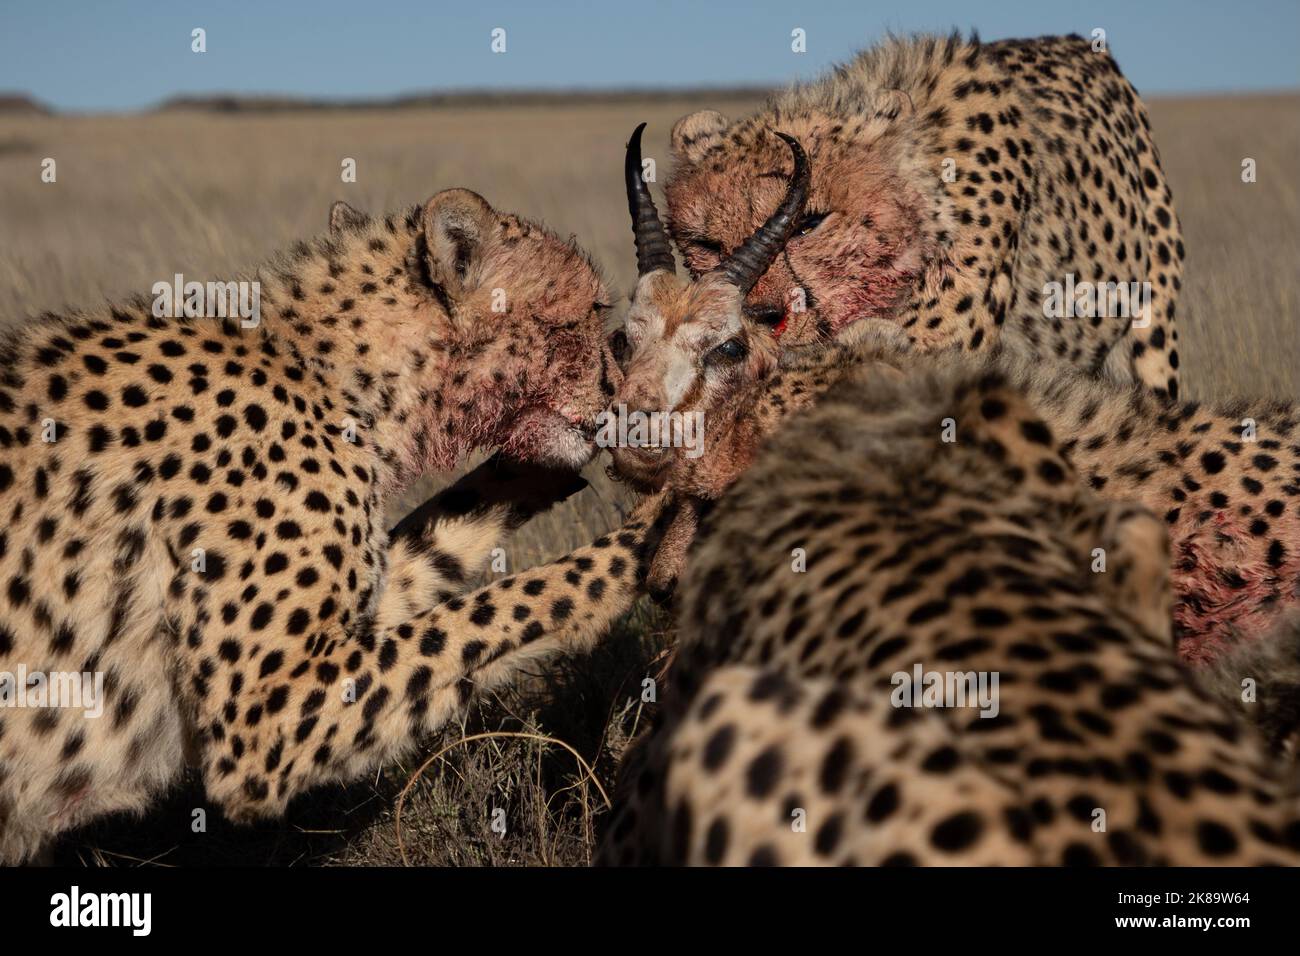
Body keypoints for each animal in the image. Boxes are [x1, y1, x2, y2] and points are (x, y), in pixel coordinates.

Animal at [0, 191, 670, 863]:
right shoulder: (264, 722)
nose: (619, 390)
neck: (331, 371)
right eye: (588, 313)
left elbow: (446, 565)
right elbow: (497, 607)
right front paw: (652, 532)